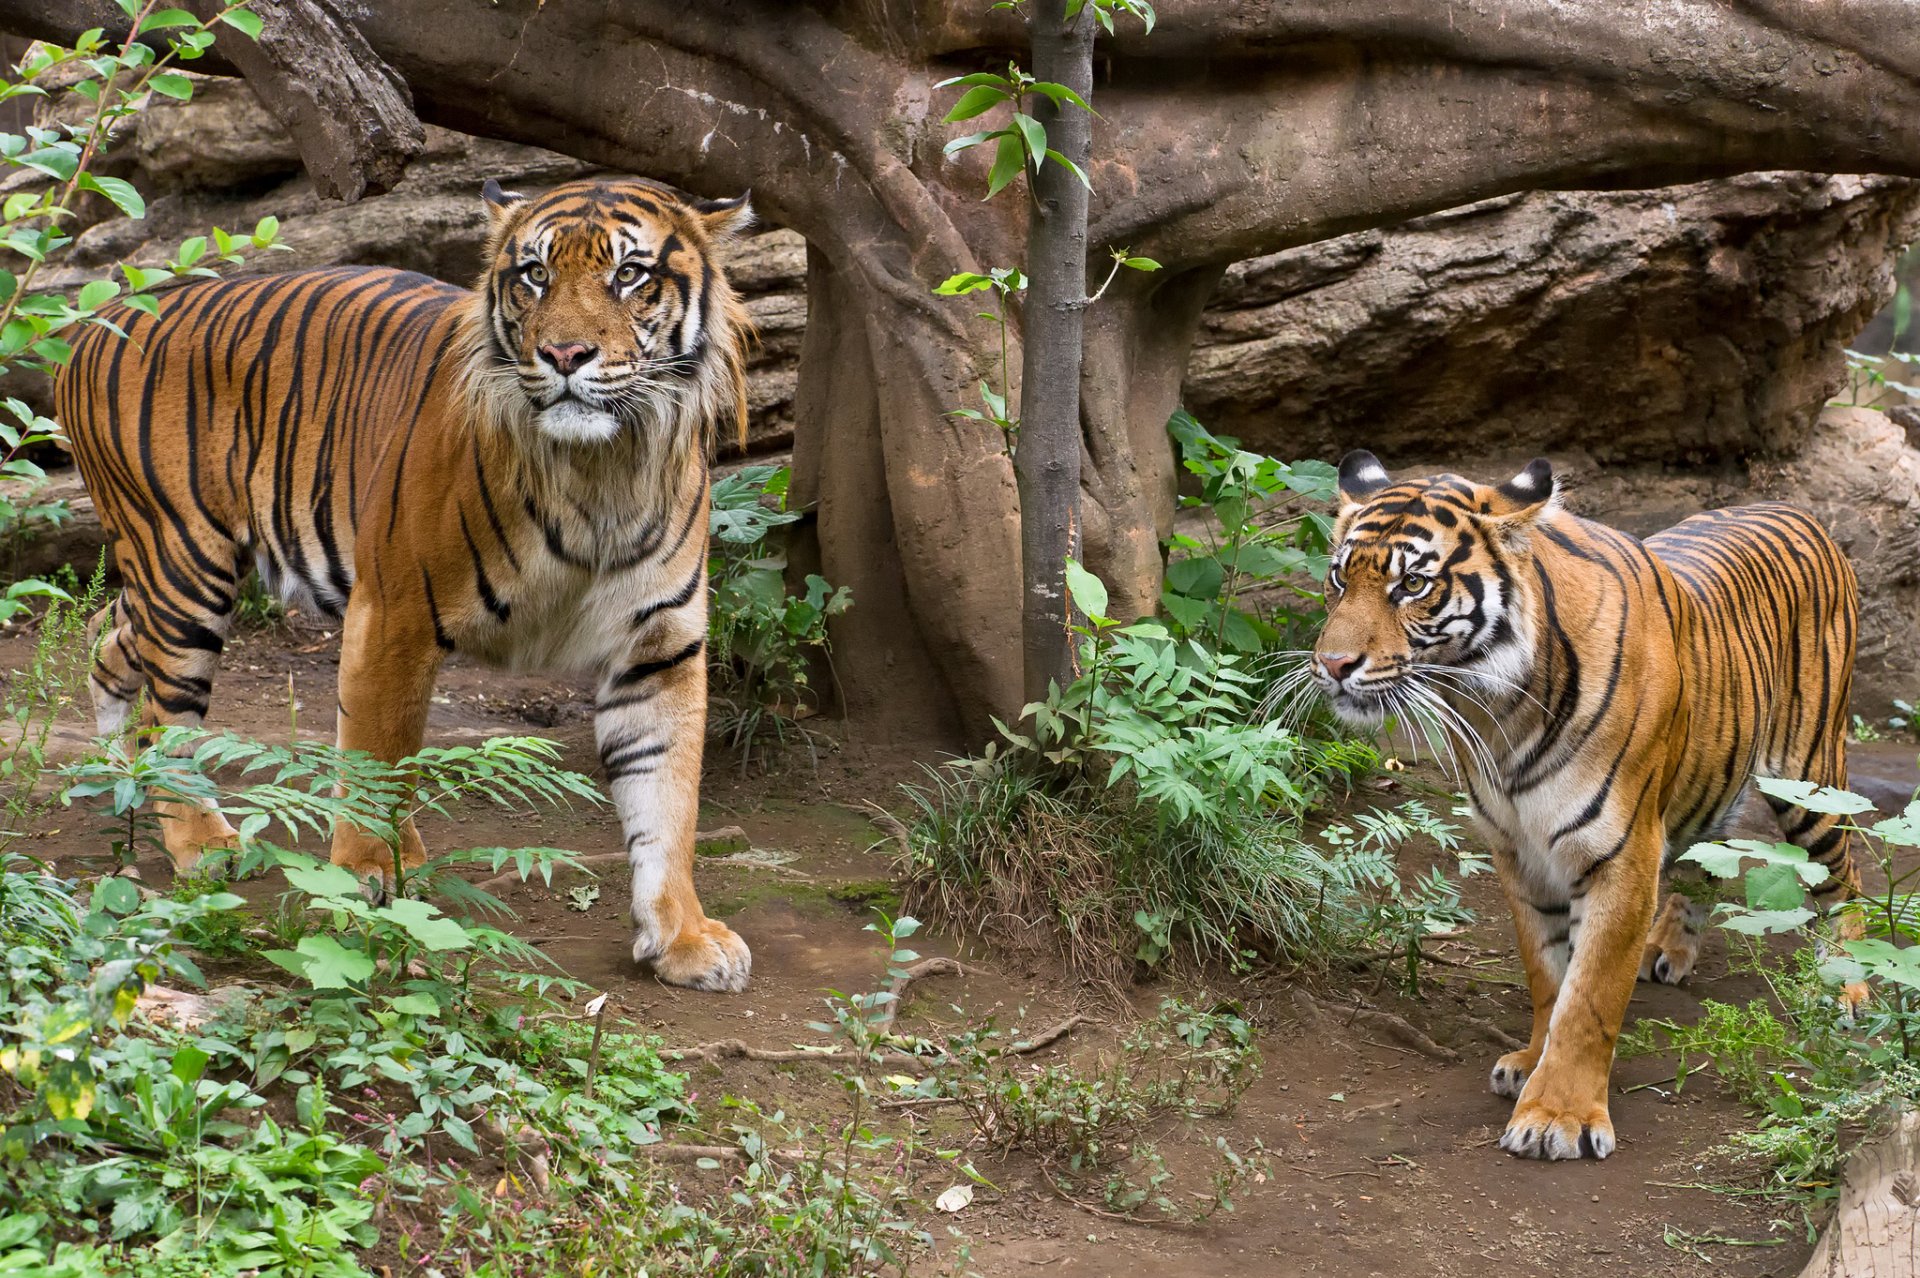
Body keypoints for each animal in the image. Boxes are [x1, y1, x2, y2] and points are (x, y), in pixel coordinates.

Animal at [53, 175, 758, 992]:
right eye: (534, 275)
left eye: (629, 274)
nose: (563, 353)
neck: (601, 469)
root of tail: (99, 319)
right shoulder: (393, 612)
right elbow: (377, 757)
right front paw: (359, 879)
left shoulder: (660, 646)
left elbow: (666, 799)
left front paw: (684, 936)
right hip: (183, 561)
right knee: (164, 716)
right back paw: (202, 840)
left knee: (106, 642)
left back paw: (118, 777)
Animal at [1310, 451, 1861, 1160]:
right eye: (1338, 578)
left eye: (1411, 584)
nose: (1332, 664)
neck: (1497, 712)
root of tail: (1795, 508)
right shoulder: (1519, 851)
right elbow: (1548, 976)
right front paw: (1531, 1064)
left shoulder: (1620, 853)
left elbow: (1590, 995)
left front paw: (1557, 1116)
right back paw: (1669, 948)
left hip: (1811, 779)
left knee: (1846, 873)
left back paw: (1849, 989)